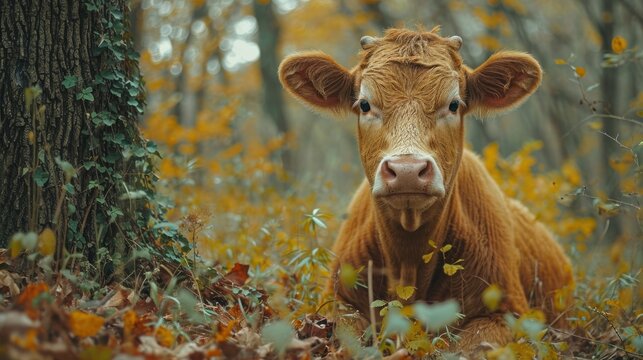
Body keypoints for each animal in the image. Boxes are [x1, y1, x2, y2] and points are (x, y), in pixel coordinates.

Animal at [280, 28, 572, 354]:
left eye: (454, 104)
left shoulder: (509, 314)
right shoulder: (336, 304)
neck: (408, 260)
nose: (407, 170)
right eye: (365, 105)